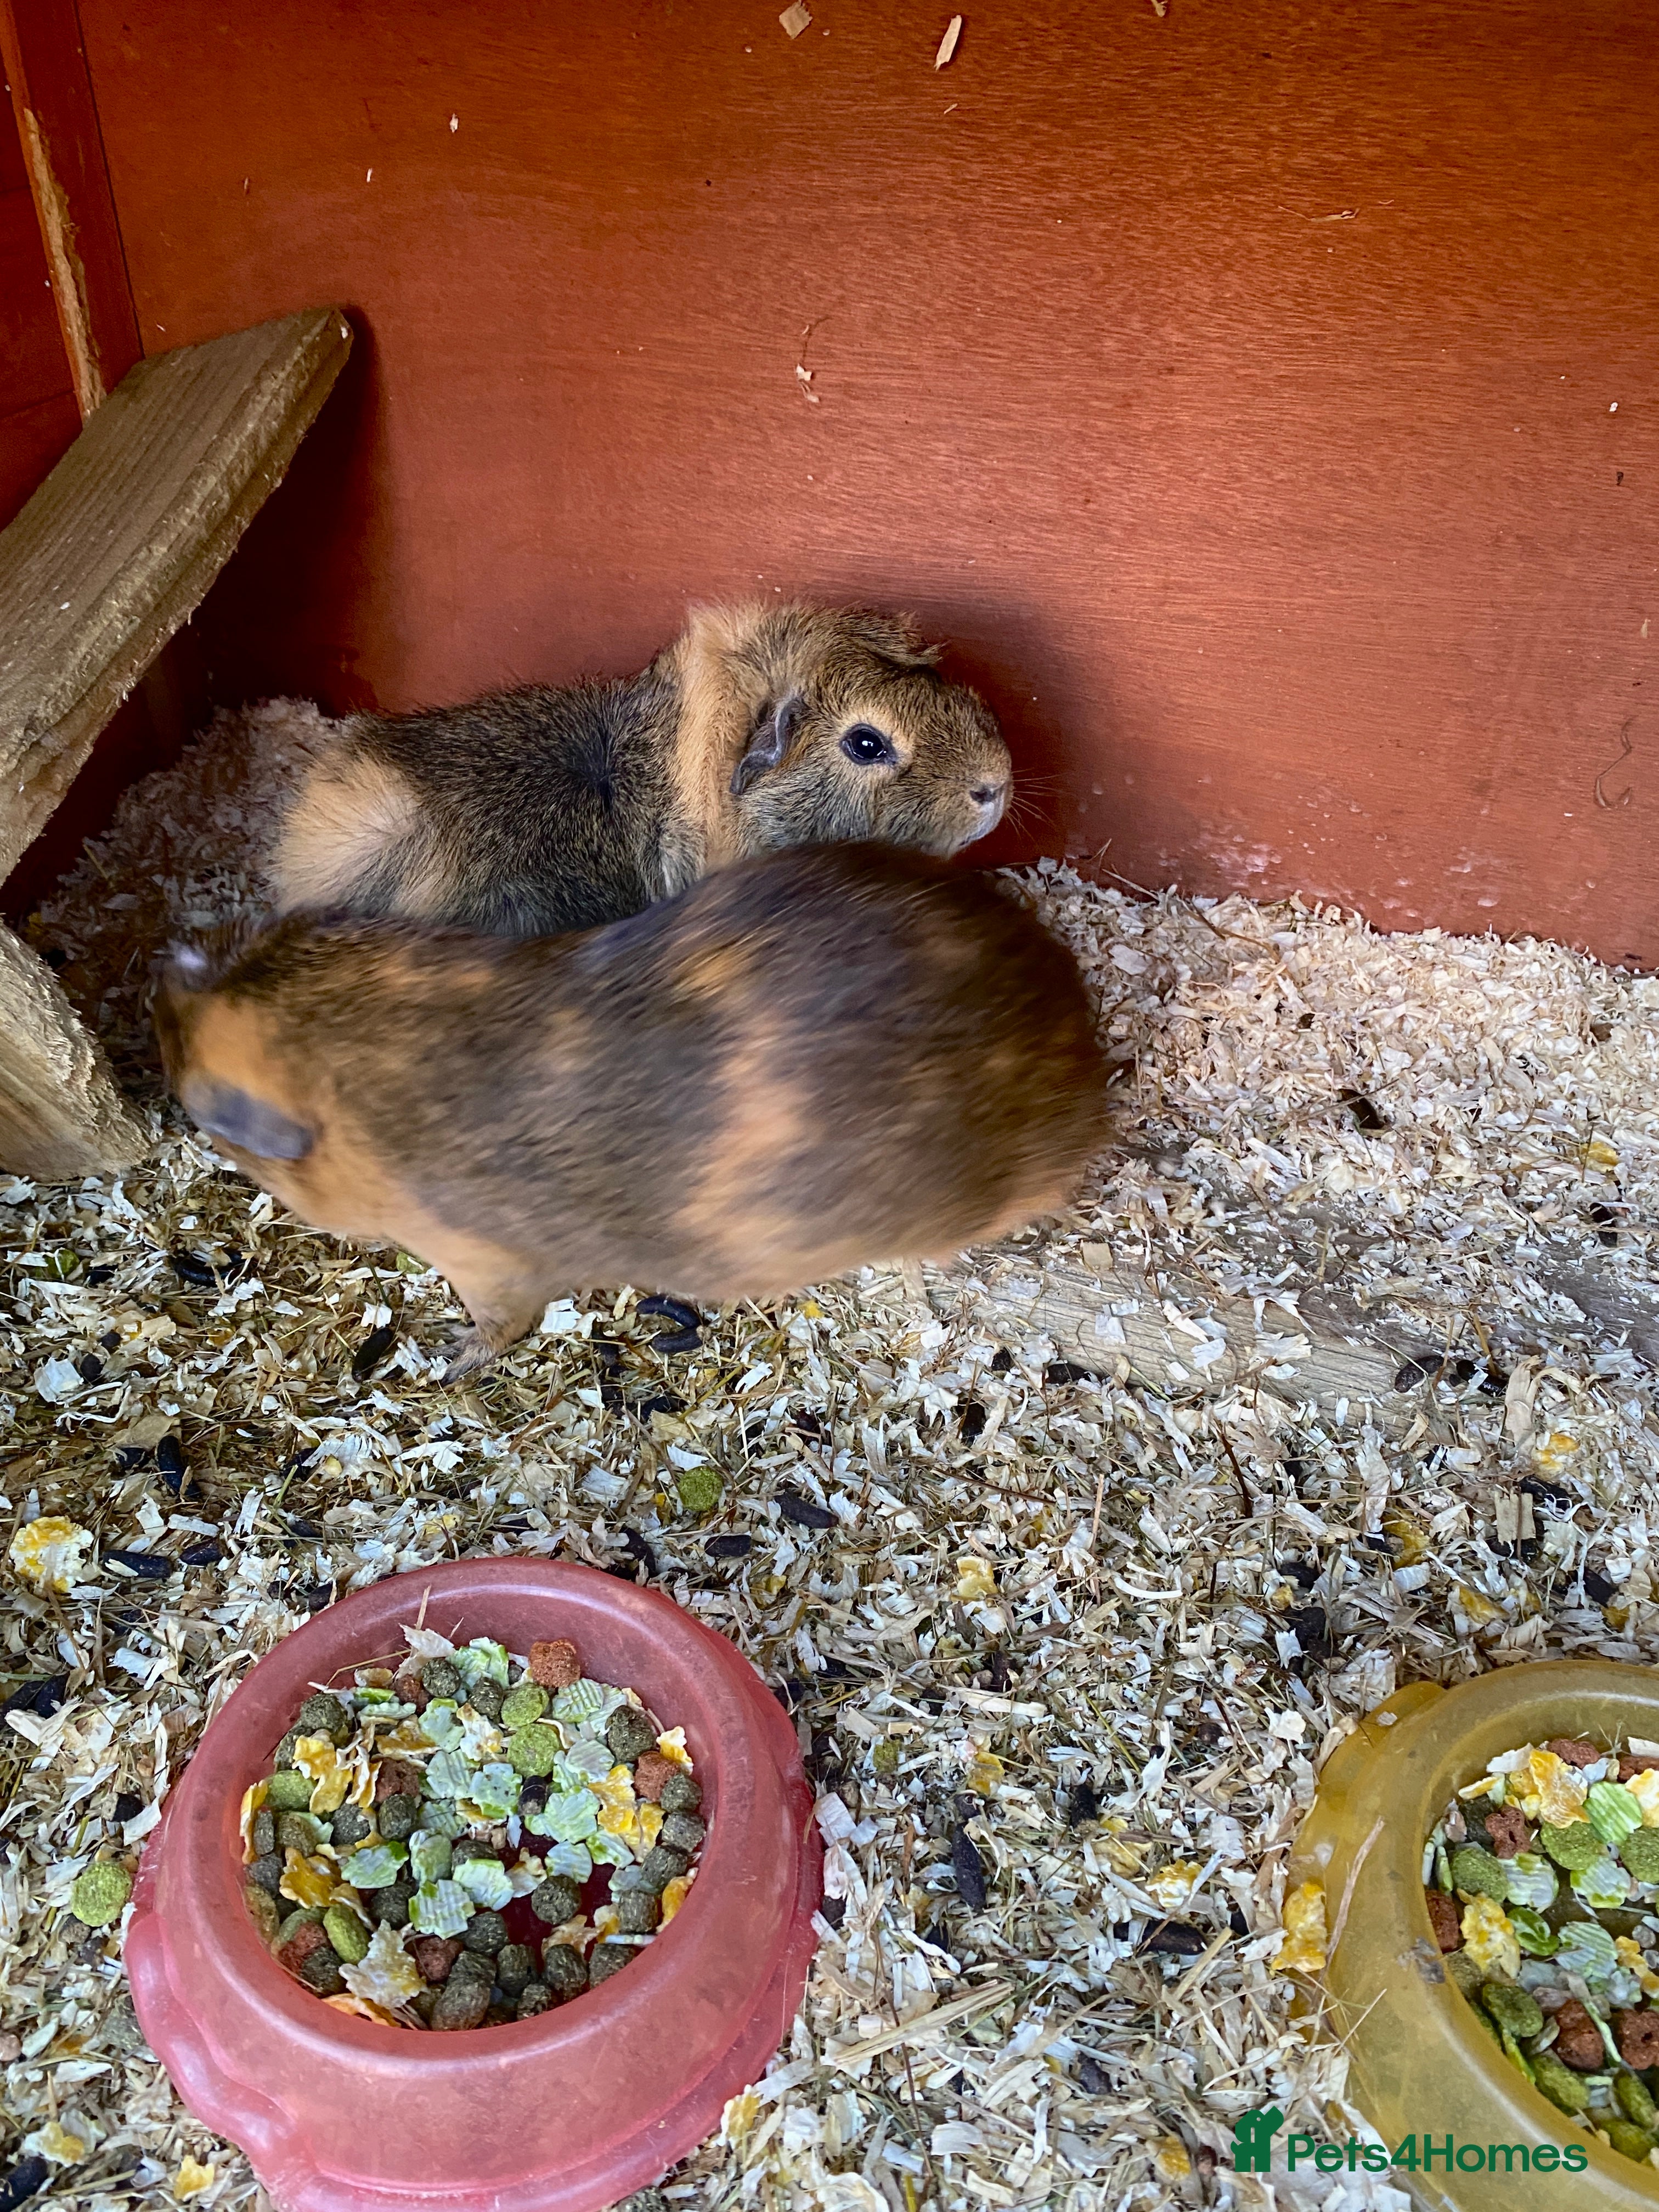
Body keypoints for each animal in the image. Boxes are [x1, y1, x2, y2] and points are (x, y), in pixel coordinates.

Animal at [155, 844, 1107, 1379]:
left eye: (203, 1103)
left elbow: (498, 1325)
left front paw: (447, 1361)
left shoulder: (487, 1266)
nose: (166, 982)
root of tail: (1084, 1055)